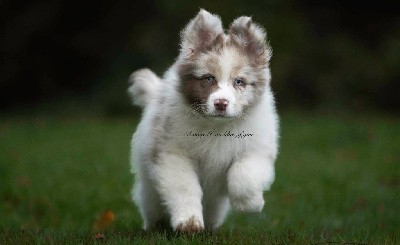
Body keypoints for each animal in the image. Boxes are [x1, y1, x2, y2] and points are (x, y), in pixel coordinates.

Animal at [128, 9, 278, 232]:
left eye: (239, 82)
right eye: (209, 79)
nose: (221, 103)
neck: (218, 127)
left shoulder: (256, 149)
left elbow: (243, 176)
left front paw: (252, 204)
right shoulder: (172, 154)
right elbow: (184, 187)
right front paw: (188, 222)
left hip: (215, 201)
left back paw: (212, 227)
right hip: (150, 189)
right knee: (152, 205)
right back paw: (154, 227)